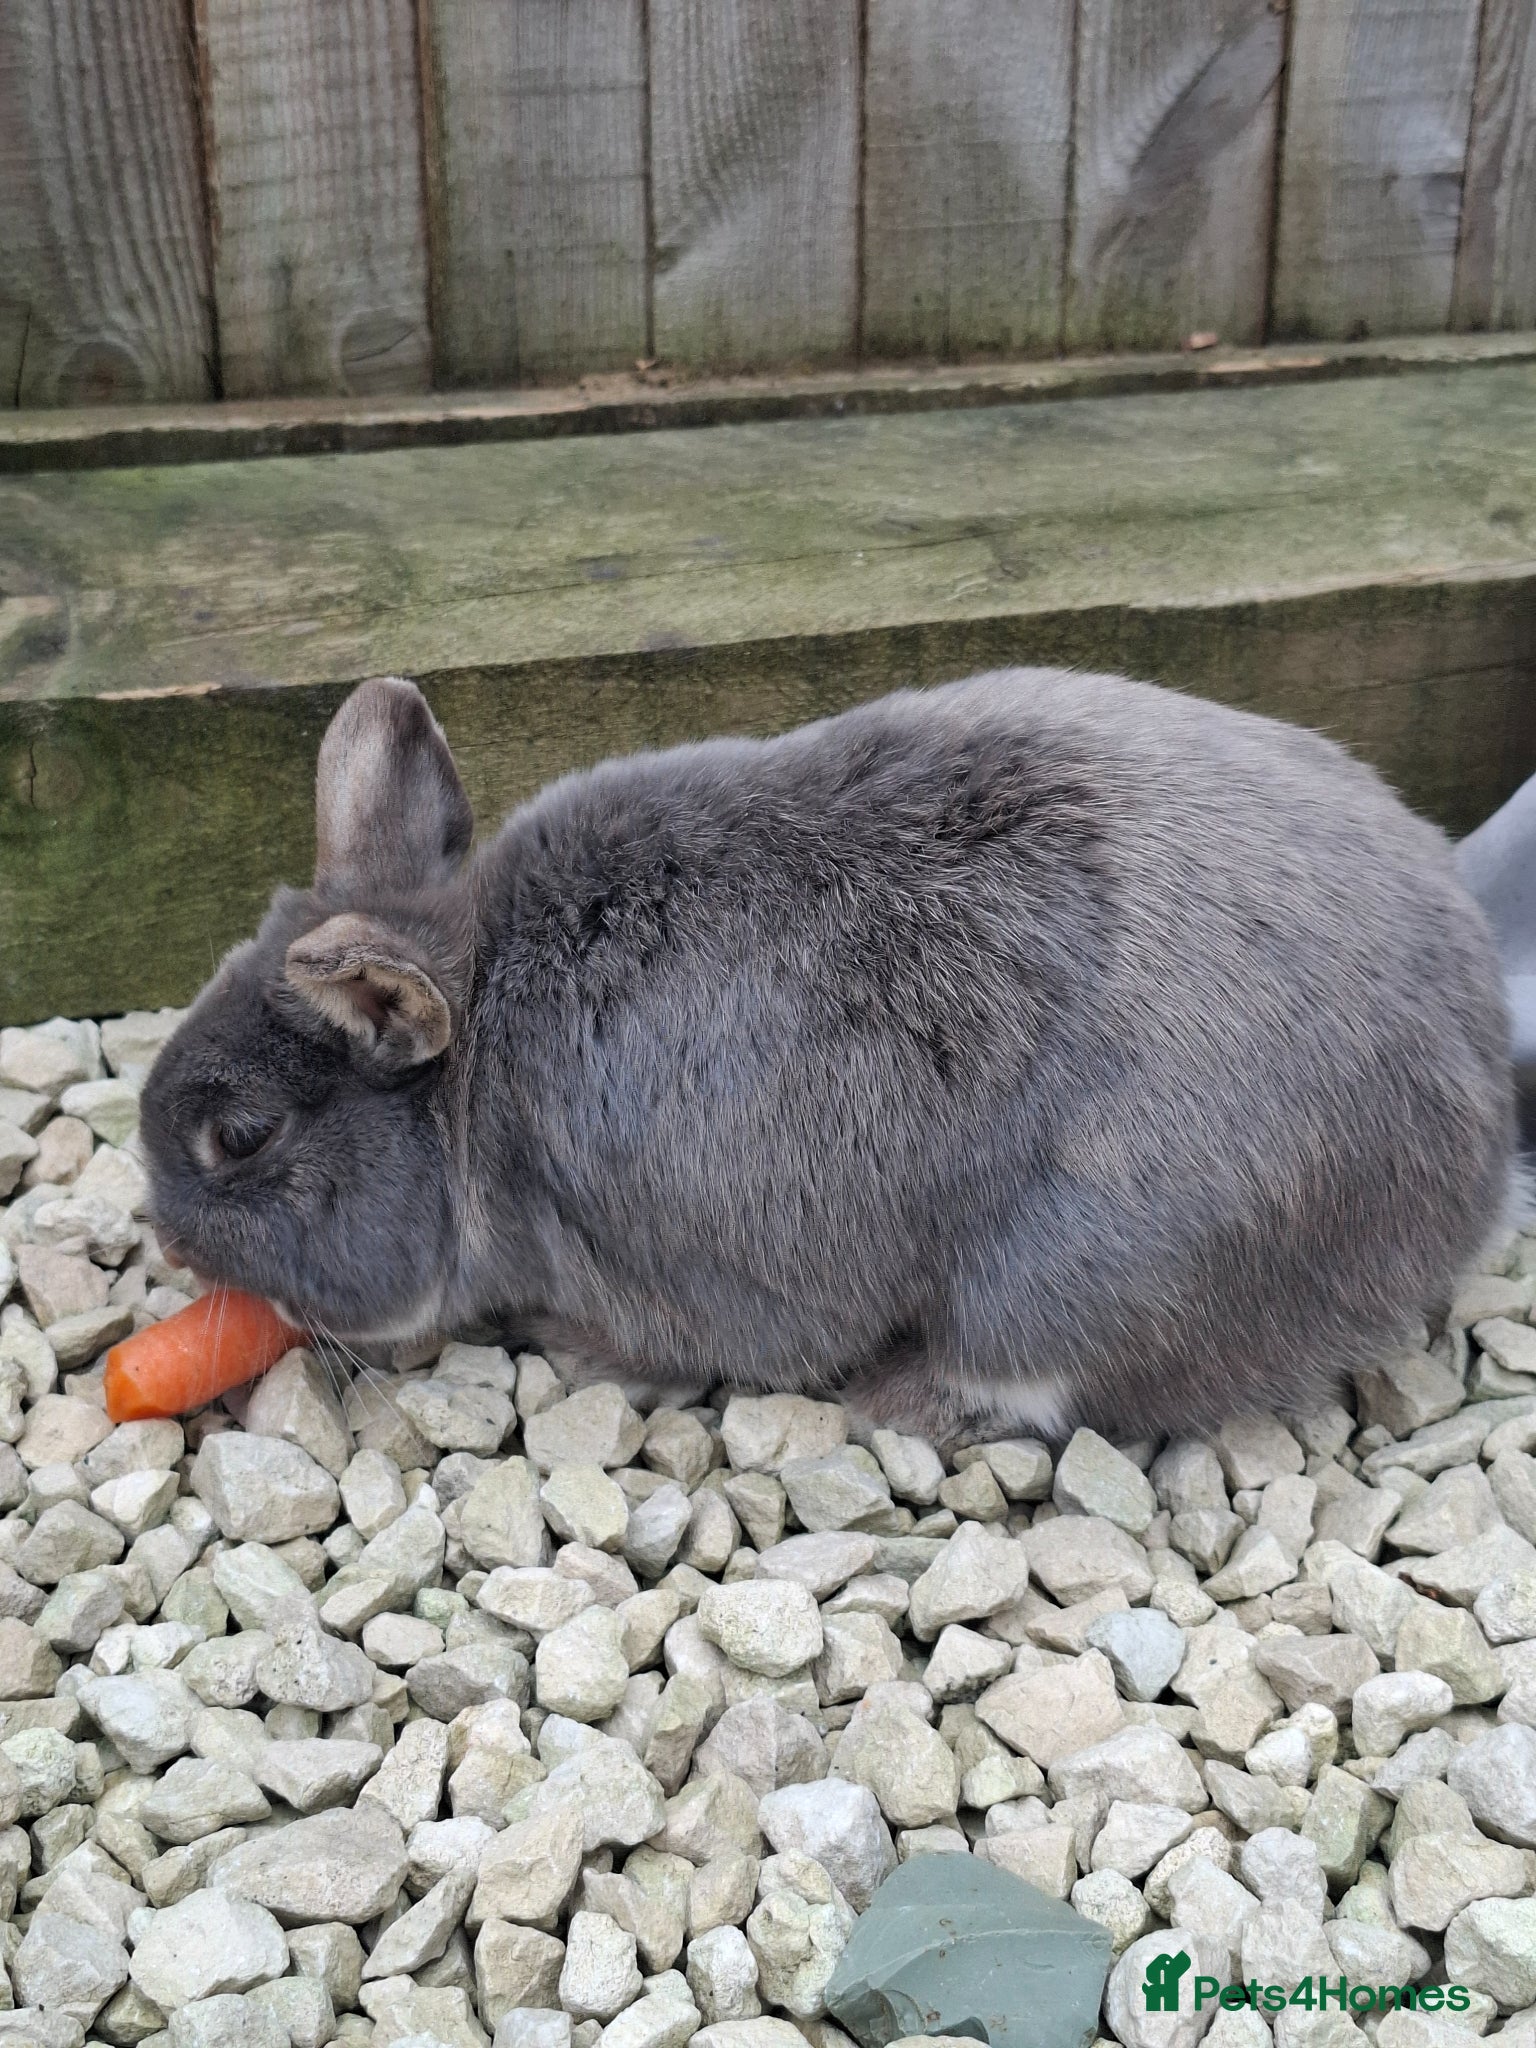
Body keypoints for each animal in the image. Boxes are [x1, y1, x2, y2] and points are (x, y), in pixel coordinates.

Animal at [139, 666, 1516, 1444]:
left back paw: (895, 1401)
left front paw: (577, 1353)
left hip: (1070, 1273)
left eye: (242, 1135)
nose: (163, 1235)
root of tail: (1475, 1144)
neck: (478, 1066)